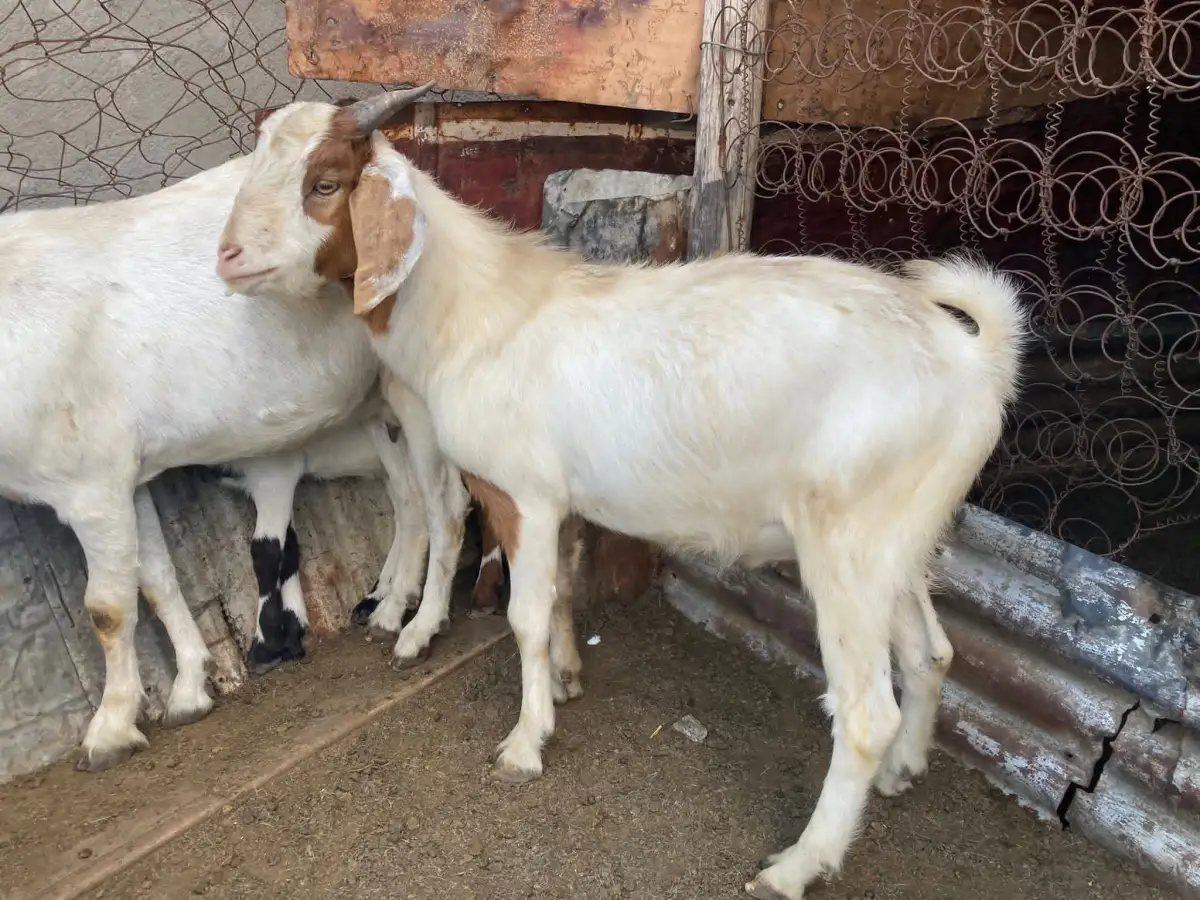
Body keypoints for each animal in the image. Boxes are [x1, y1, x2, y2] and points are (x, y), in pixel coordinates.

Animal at [216, 89, 1027, 900]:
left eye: (324, 183)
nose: (227, 257)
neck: (479, 316)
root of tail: (973, 361)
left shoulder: (523, 494)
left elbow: (524, 615)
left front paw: (525, 742)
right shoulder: (562, 502)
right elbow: (562, 591)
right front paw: (567, 679)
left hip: (847, 545)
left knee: (863, 716)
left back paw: (798, 863)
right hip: (898, 539)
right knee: (932, 653)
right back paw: (902, 771)